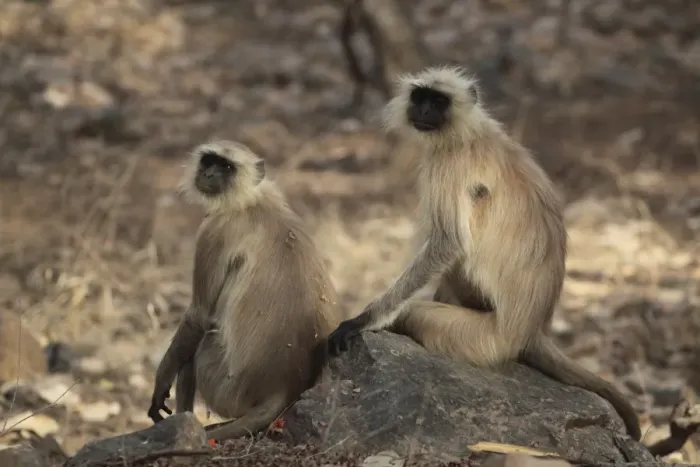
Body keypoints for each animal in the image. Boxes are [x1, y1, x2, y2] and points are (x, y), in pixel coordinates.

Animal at [147, 140, 345, 442]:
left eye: (227, 167)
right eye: (209, 161)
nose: (208, 174)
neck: (250, 201)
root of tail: (282, 386)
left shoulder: (214, 230)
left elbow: (198, 317)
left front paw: (160, 386)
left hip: (222, 384)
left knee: (197, 345)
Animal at [326, 66, 641, 441]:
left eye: (439, 101)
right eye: (421, 97)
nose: (425, 111)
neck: (469, 131)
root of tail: (531, 330)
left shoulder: (449, 164)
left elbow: (447, 243)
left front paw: (362, 320)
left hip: (484, 339)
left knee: (418, 311)